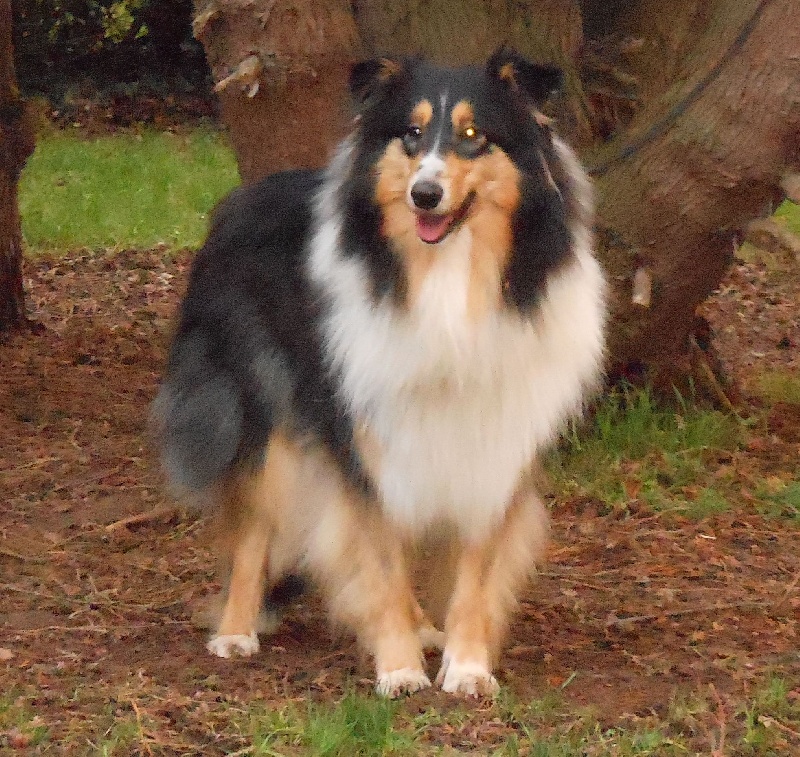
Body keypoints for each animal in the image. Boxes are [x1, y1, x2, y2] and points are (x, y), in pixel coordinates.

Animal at [155, 48, 608, 696]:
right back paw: (236, 632)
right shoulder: (361, 438)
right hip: (264, 407)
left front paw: (467, 666)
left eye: (474, 135)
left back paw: (425, 628)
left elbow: (473, 571)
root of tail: (240, 200)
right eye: (411, 134)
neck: (445, 277)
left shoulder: (493, 439)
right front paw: (398, 669)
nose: (425, 194)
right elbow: (380, 559)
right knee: (253, 526)